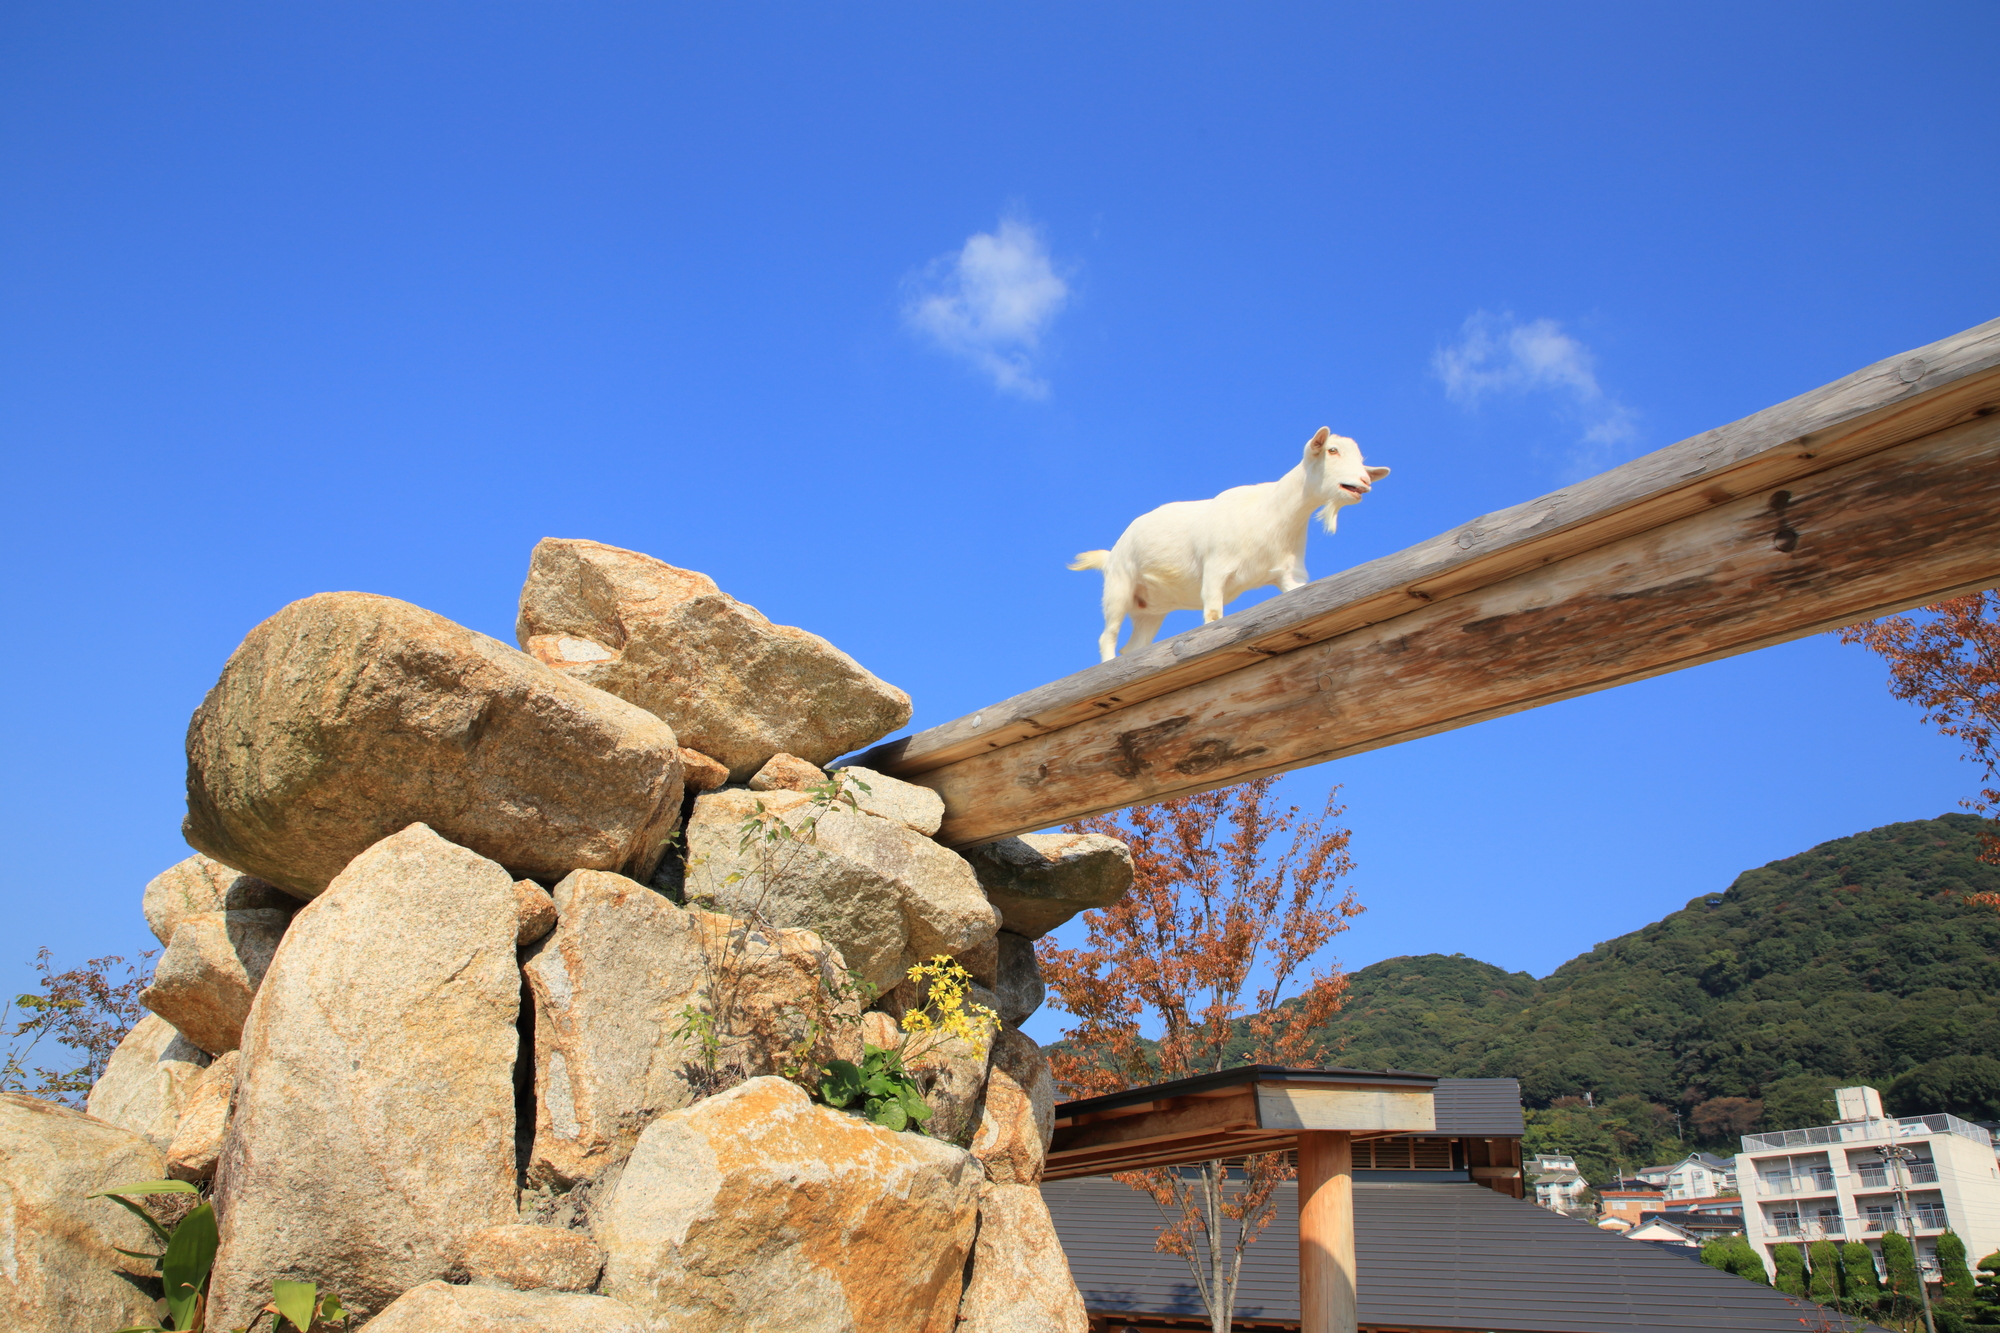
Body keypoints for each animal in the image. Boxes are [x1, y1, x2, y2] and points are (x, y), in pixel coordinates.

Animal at [1064, 428, 1392, 660]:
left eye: (1363, 462)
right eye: (1332, 450)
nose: (1364, 482)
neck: (1269, 512)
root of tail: (1109, 555)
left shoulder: (1289, 573)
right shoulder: (1215, 570)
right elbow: (1212, 615)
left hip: (1150, 611)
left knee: (1132, 648)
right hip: (1119, 585)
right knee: (1108, 636)